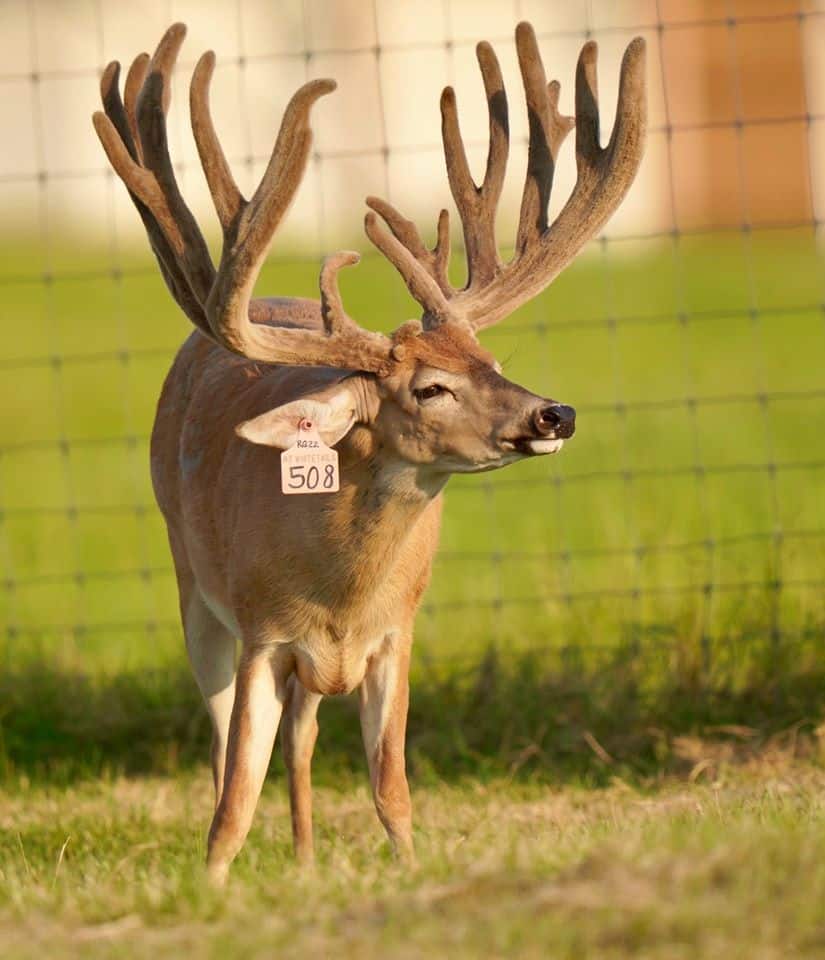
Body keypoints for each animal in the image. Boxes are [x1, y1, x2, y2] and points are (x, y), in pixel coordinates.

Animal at [93, 21, 645, 883]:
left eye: (488, 359)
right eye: (429, 388)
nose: (554, 413)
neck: (341, 596)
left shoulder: (396, 635)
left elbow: (391, 787)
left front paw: (409, 871)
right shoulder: (262, 635)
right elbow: (233, 798)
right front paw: (211, 888)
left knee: (303, 735)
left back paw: (306, 858)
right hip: (192, 588)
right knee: (224, 746)